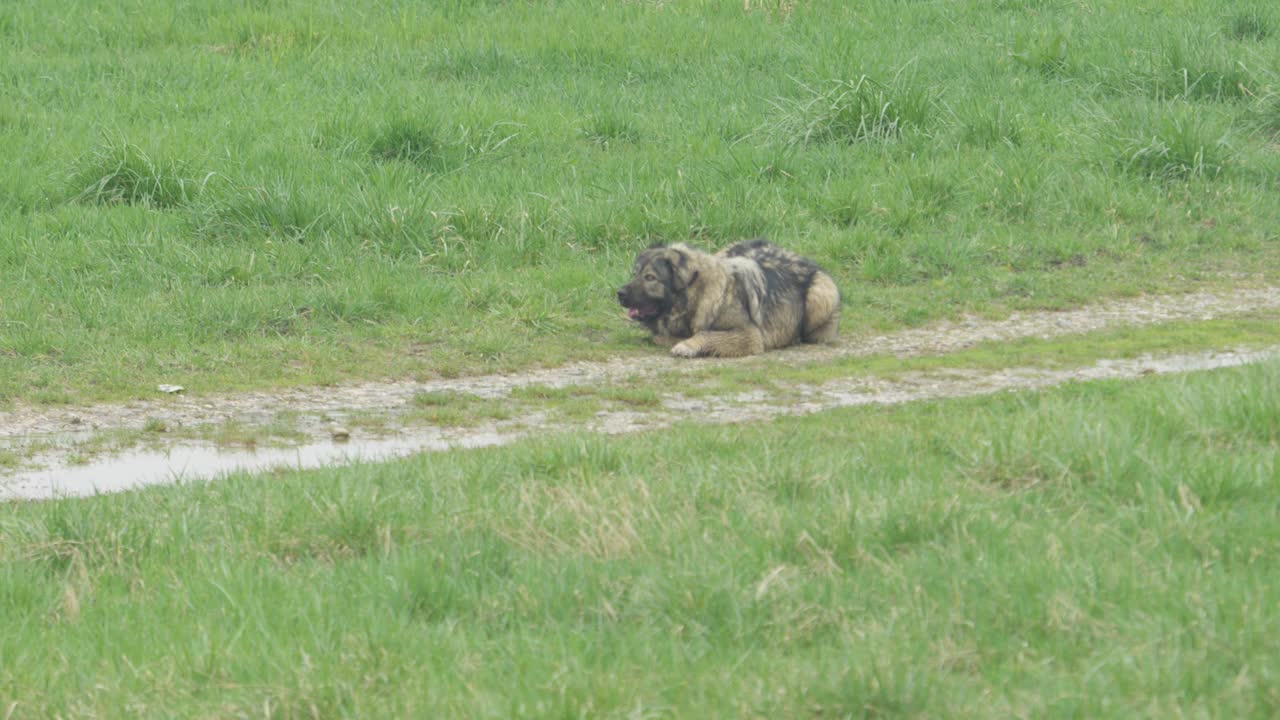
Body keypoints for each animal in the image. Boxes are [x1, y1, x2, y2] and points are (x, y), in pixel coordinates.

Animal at [616, 238, 839, 356]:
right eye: (635, 273)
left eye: (650, 277)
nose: (619, 294)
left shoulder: (749, 336)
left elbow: (706, 334)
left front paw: (687, 345)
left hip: (821, 295)